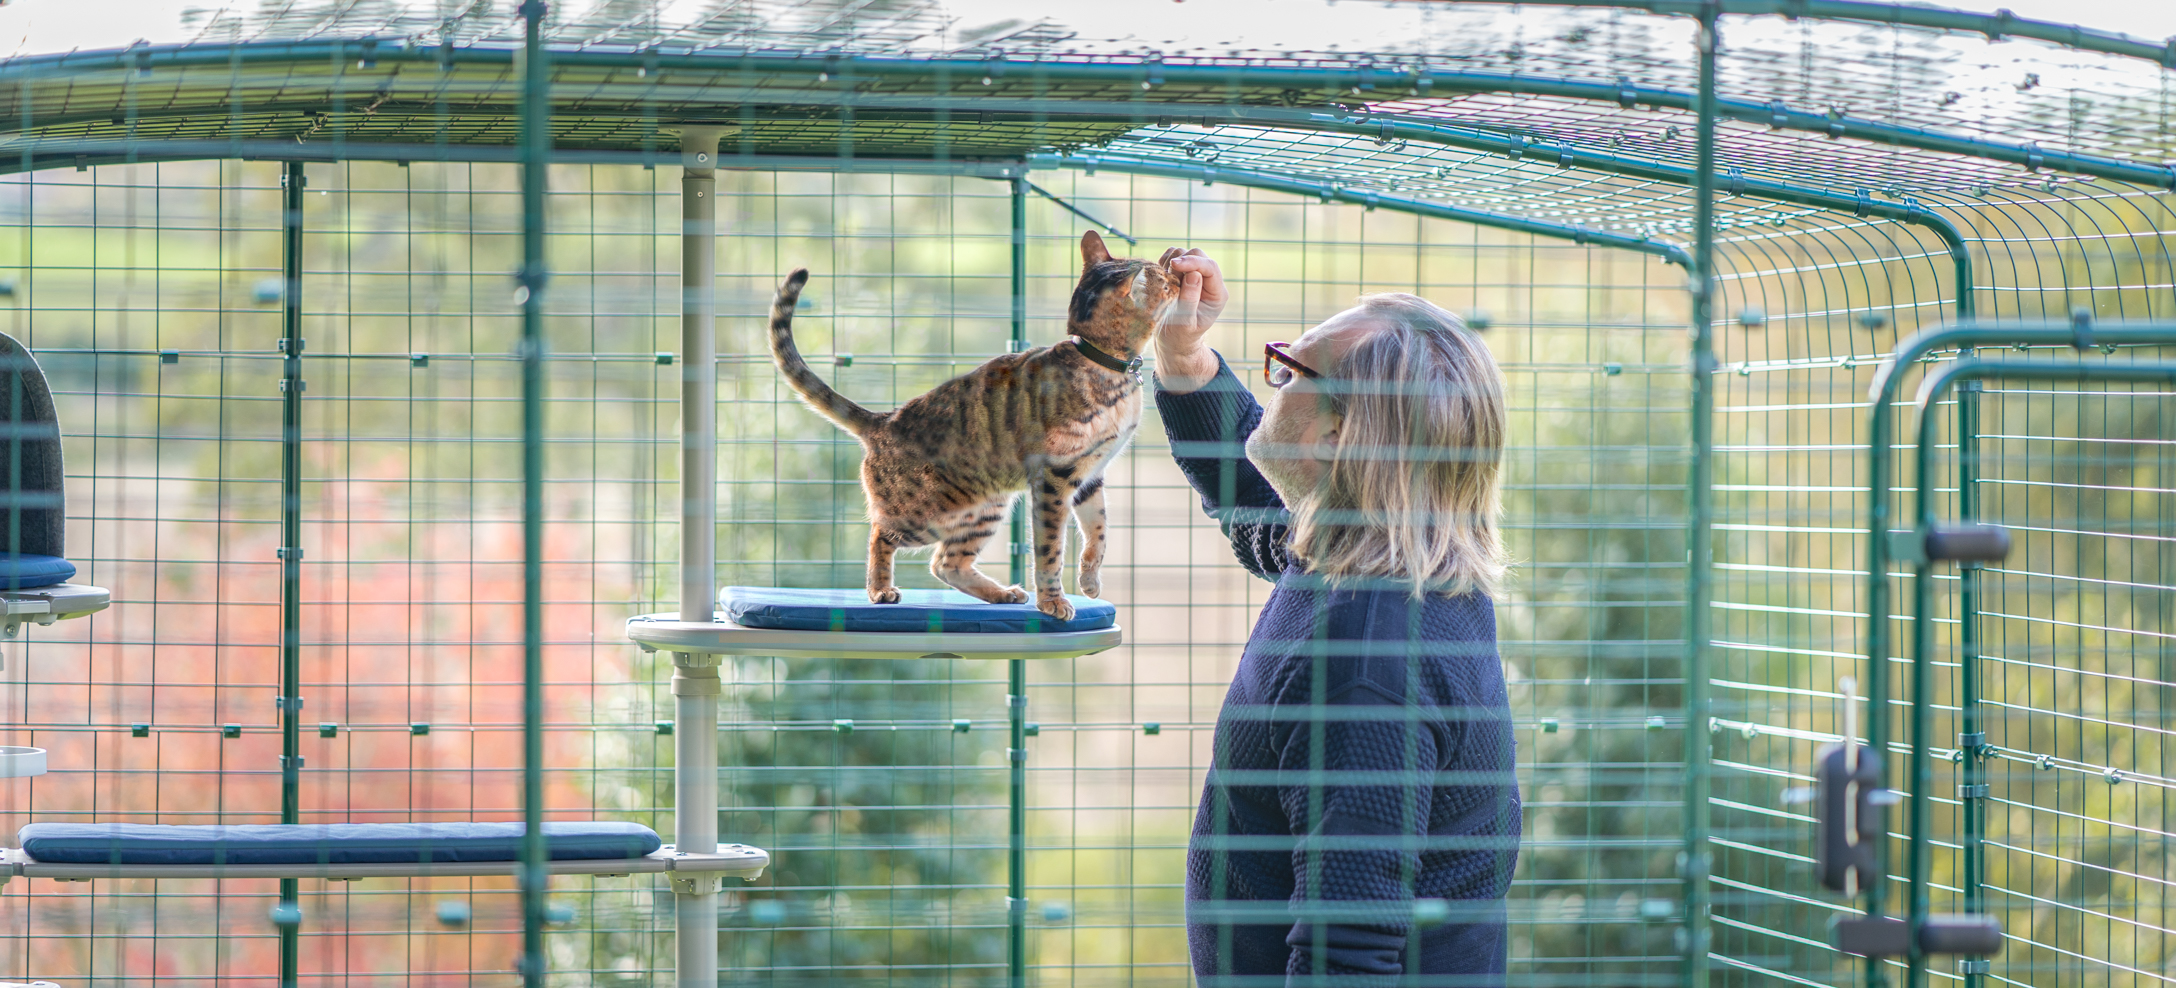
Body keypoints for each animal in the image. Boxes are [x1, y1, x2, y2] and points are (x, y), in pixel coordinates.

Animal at [765, 230, 1175, 618]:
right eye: (1164, 282)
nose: (1173, 271)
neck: (1100, 362)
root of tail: (883, 421)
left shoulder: (1090, 475)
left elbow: (1099, 530)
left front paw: (1089, 580)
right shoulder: (1054, 478)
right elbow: (1049, 550)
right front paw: (1053, 602)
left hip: (985, 508)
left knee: (946, 563)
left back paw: (1001, 594)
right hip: (924, 513)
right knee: (882, 533)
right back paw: (880, 589)